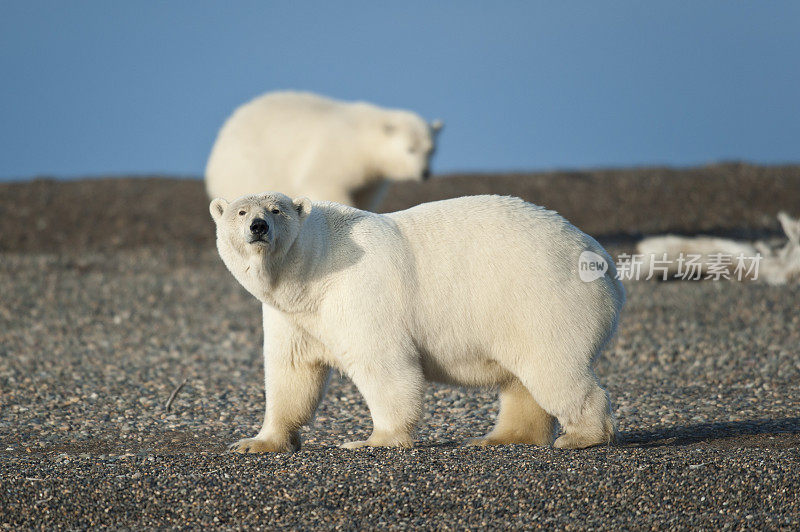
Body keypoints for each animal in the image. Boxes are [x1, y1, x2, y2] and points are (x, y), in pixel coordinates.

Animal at [205, 90, 444, 209]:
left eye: (431, 149)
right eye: (410, 149)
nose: (425, 173)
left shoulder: (370, 180)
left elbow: (364, 197)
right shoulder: (335, 153)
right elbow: (325, 183)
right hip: (249, 167)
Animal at [208, 193, 624, 450]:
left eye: (276, 209)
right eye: (241, 211)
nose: (258, 226)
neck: (314, 266)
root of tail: (603, 260)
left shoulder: (360, 289)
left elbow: (384, 364)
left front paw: (372, 440)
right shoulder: (293, 315)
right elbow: (291, 372)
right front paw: (255, 442)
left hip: (546, 300)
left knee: (553, 368)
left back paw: (582, 436)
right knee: (522, 381)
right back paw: (499, 437)